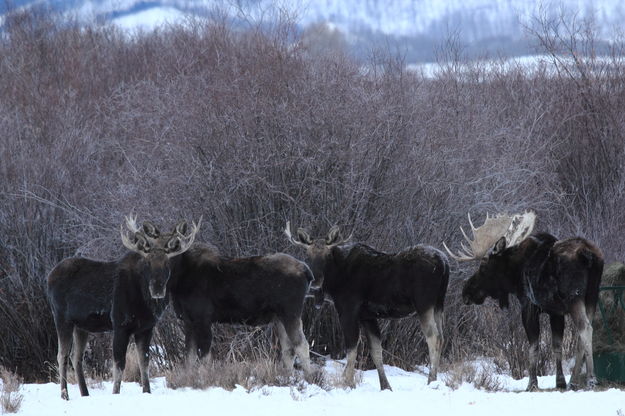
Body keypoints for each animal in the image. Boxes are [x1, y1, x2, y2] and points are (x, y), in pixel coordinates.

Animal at [48, 214, 200, 400]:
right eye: (148, 262)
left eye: (168, 263)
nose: (157, 288)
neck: (145, 302)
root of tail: (49, 276)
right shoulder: (120, 324)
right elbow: (119, 363)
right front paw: (115, 393)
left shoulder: (146, 327)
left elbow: (144, 361)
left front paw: (147, 391)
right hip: (61, 317)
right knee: (62, 355)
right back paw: (65, 395)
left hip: (81, 326)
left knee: (76, 357)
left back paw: (85, 394)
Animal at [168, 242, 312, 376]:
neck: (179, 280)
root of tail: (306, 271)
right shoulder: (188, 321)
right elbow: (189, 358)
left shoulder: (203, 319)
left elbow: (204, 357)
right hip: (280, 317)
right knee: (288, 349)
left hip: (291, 313)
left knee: (302, 345)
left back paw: (310, 376)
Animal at [282, 223, 448, 388]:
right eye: (308, 255)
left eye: (327, 255)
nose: (316, 282)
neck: (336, 280)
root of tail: (444, 263)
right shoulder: (367, 316)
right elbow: (376, 351)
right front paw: (385, 386)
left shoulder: (348, 309)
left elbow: (352, 348)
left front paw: (348, 382)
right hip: (439, 305)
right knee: (441, 336)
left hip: (424, 304)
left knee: (434, 337)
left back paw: (431, 380)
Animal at [442, 211, 604, 390]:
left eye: (483, 267)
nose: (466, 292)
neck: (515, 274)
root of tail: (589, 256)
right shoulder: (555, 312)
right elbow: (557, 345)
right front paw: (560, 381)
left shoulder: (528, 306)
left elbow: (533, 347)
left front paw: (532, 383)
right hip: (592, 295)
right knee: (582, 334)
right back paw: (573, 380)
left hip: (574, 296)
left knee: (585, 328)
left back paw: (591, 379)